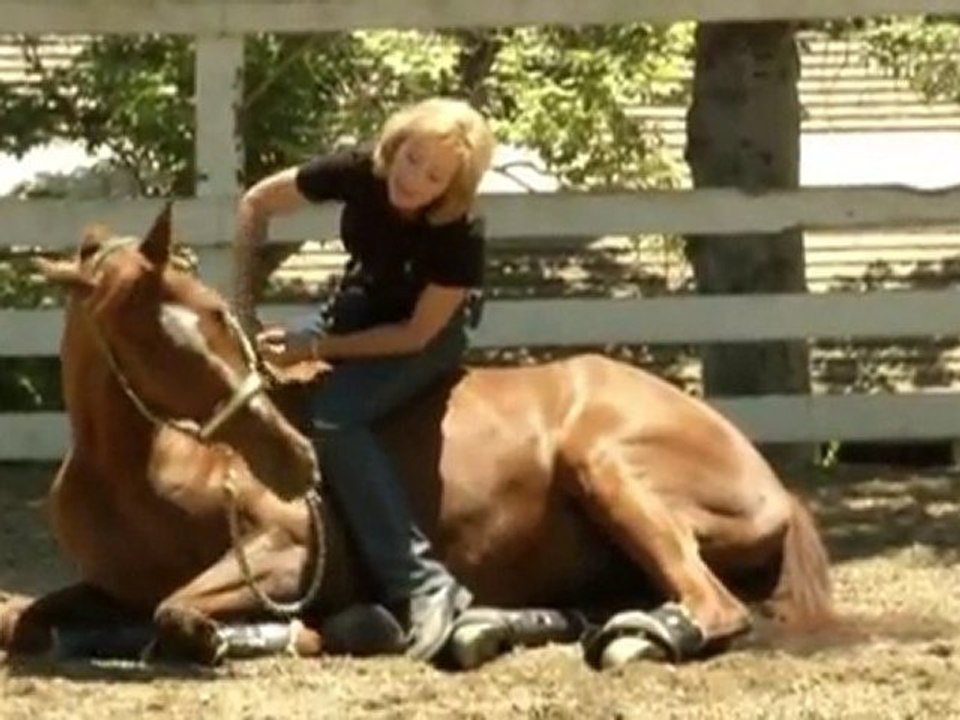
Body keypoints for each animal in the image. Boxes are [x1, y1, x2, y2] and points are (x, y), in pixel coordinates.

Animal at [0, 204, 834, 670]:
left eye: (213, 315)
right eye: (155, 342)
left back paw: (625, 638)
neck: (139, 473)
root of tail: (773, 483)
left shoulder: (288, 556)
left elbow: (177, 612)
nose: (292, 460)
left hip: (608, 471)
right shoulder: (105, 584)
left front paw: (300, 634)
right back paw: (494, 625)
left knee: (711, 604)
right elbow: (27, 620)